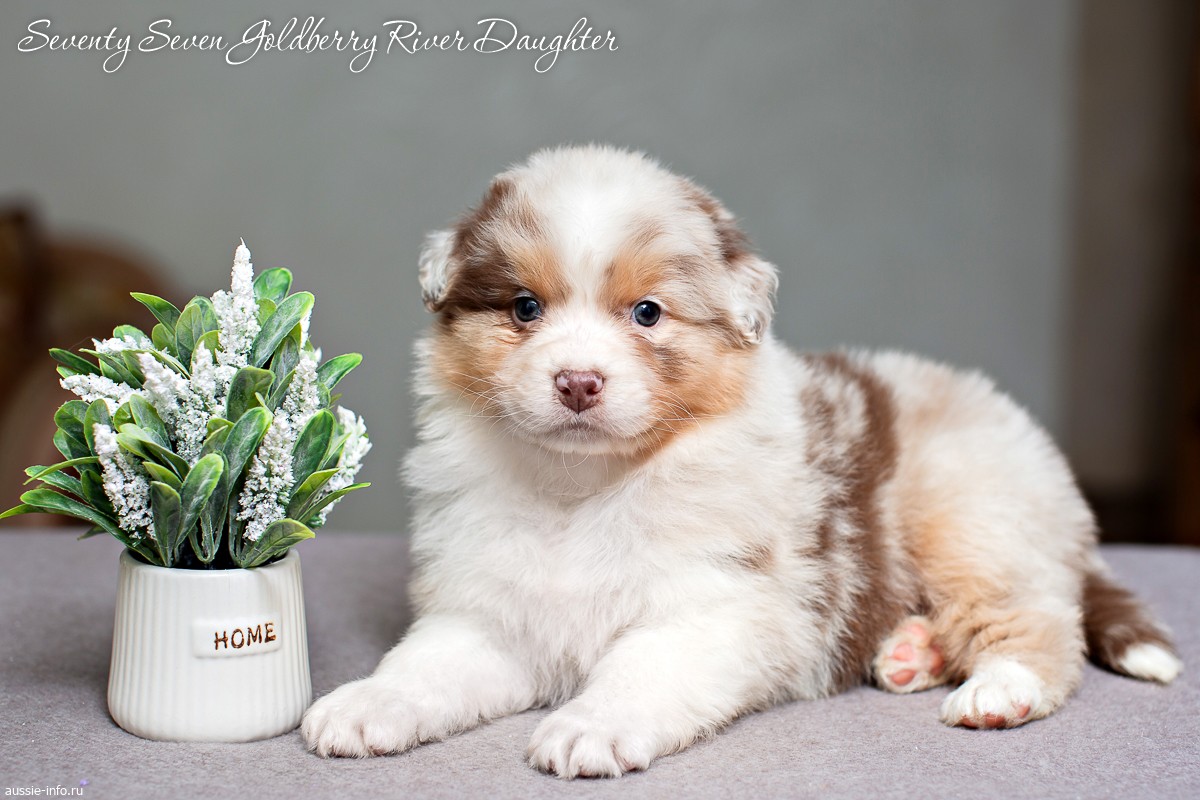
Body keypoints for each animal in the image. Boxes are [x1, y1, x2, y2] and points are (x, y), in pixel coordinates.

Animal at [301, 145, 1182, 778]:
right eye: (524, 308)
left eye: (647, 313)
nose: (578, 382)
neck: (583, 488)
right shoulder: (486, 617)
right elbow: (423, 666)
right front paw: (362, 706)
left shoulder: (712, 608)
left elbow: (640, 670)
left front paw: (589, 727)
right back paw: (911, 653)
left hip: (971, 523)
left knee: (1038, 620)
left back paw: (998, 689)